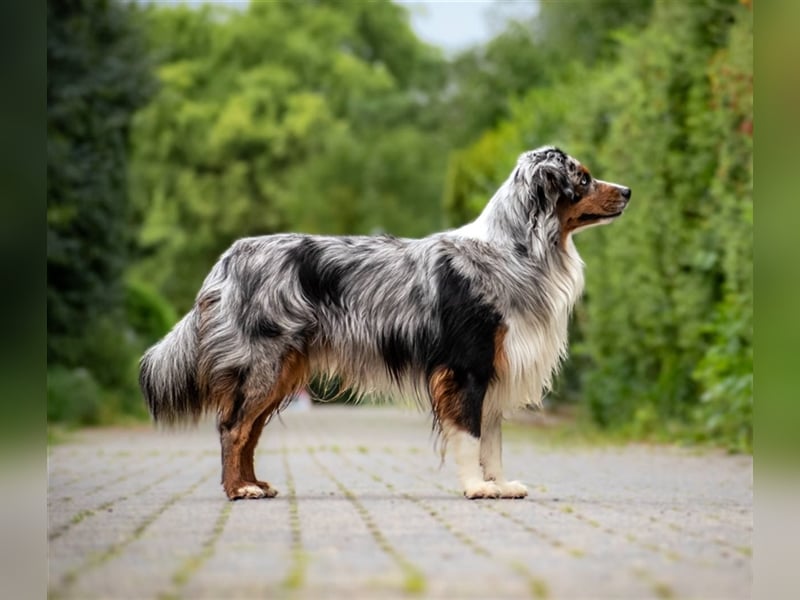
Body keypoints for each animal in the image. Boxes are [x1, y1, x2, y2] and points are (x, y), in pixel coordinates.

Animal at [142, 146, 632, 502]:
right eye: (583, 178)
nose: (627, 190)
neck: (518, 251)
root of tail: (228, 259)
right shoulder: (468, 368)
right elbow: (470, 436)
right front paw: (477, 488)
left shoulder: (497, 369)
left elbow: (492, 441)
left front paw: (500, 484)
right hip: (263, 364)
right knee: (232, 428)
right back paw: (237, 490)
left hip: (280, 371)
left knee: (249, 432)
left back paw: (254, 484)